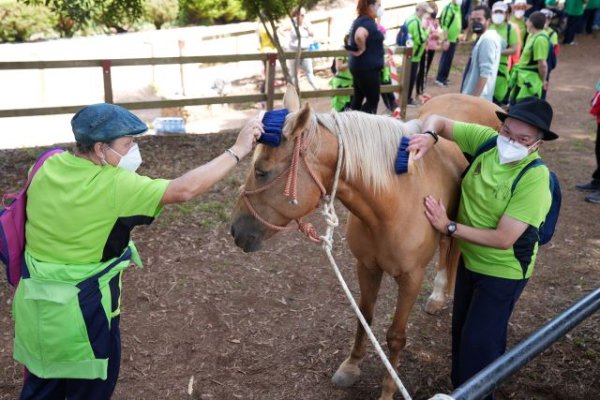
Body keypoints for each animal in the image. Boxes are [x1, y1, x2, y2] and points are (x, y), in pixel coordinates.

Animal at [230, 90, 502, 400]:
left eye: (261, 171)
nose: (234, 229)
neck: (393, 201)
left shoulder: (411, 278)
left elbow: (396, 336)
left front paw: (388, 391)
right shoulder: (367, 267)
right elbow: (364, 317)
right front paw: (351, 366)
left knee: (451, 250)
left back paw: (439, 294)